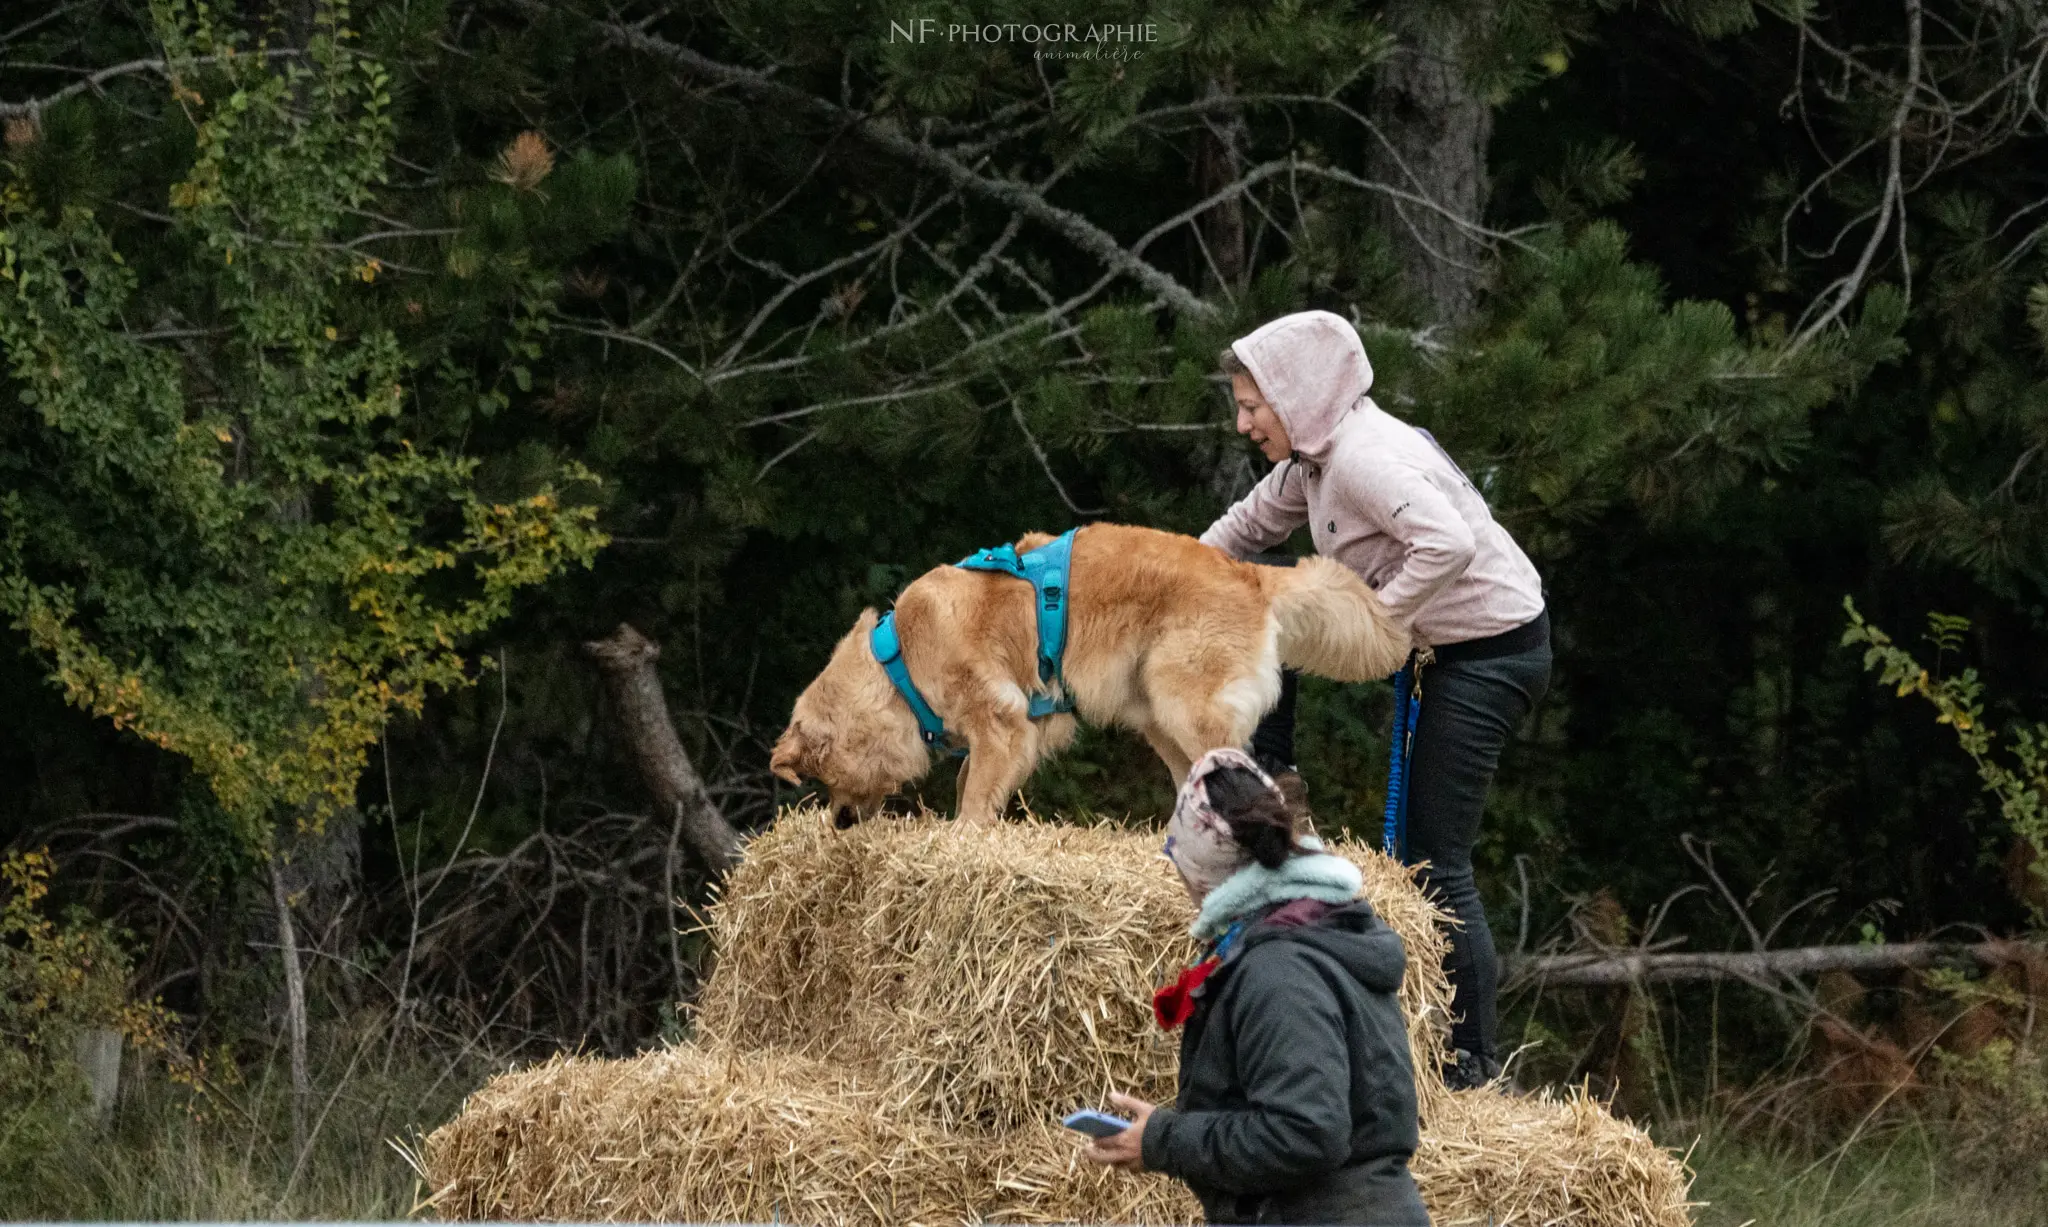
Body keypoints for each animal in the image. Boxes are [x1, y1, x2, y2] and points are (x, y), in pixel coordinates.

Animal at [770, 524, 1409, 827]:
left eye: (825, 781)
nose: (839, 826)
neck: (899, 661)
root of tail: (1251, 575)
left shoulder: (1002, 727)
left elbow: (972, 799)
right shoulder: (1000, 738)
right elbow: (969, 787)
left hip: (1184, 705)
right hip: (1159, 718)